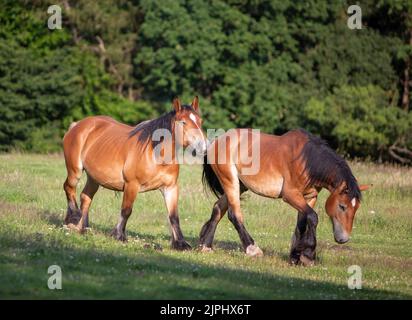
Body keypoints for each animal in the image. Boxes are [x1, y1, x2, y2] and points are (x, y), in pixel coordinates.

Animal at [62, 97, 206, 250]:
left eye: (200, 121)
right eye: (183, 122)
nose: (203, 146)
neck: (155, 153)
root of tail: (77, 125)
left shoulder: (170, 188)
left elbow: (173, 216)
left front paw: (180, 243)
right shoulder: (131, 185)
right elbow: (126, 210)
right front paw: (119, 235)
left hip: (94, 179)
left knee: (85, 197)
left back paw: (82, 228)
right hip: (75, 171)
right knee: (69, 188)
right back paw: (73, 218)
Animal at [200, 127, 370, 264]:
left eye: (356, 208)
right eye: (342, 206)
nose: (344, 239)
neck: (307, 160)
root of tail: (217, 141)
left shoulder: (309, 197)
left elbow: (302, 223)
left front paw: (296, 256)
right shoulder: (290, 195)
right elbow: (313, 217)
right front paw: (308, 255)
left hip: (240, 186)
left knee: (218, 208)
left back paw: (205, 245)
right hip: (230, 182)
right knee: (234, 215)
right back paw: (252, 249)